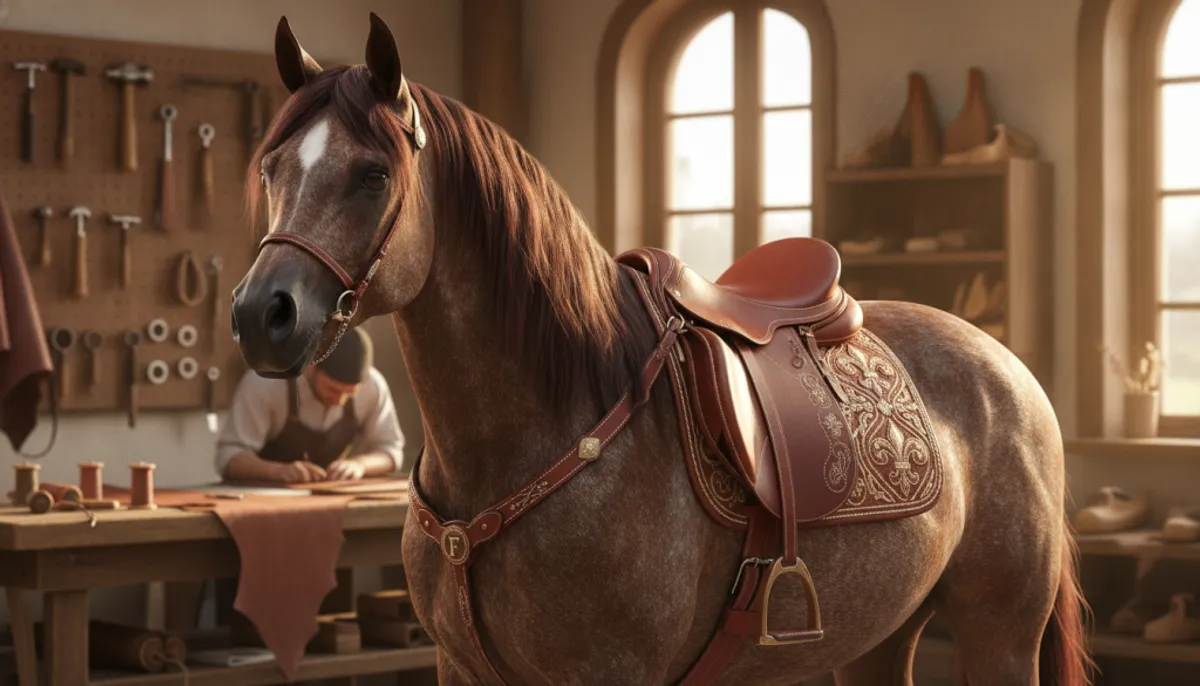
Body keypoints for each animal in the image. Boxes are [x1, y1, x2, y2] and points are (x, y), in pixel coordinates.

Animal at [230, 13, 1092, 686]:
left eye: (374, 174)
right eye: (271, 167)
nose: (261, 314)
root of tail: (1010, 370)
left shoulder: (614, 671)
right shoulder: (459, 666)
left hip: (998, 634)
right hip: (877, 640)